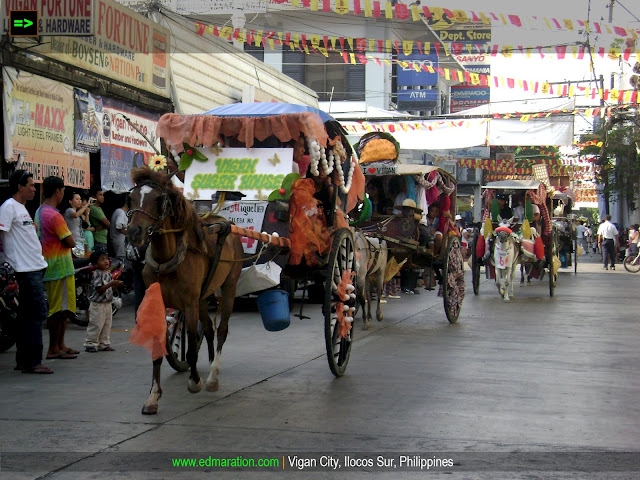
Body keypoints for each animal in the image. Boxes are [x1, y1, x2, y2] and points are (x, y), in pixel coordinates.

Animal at [126, 167, 244, 414]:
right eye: (130, 198)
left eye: (159, 199)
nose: (134, 232)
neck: (167, 258)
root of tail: (225, 223)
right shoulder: (161, 303)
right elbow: (158, 347)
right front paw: (153, 396)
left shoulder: (189, 303)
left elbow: (190, 347)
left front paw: (195, 381)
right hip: (202, 296)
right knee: (208, 328)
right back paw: (210, 363)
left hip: (228, 286)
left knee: (221, 329)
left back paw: (212, 376)